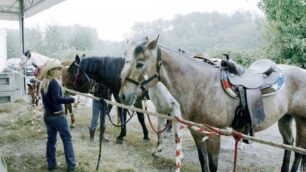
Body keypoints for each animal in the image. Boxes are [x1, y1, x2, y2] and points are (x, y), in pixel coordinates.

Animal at [119, 37, 306, 171]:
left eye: (140, 63)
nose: (122, 95)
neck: (201, 86)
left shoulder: (214, 134)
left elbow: (213, 164)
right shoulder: (196, 132)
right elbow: (203, 161)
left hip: (301, 120)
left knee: (299, 151)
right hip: (285, 118)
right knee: (289, 145)